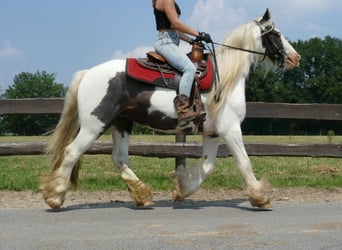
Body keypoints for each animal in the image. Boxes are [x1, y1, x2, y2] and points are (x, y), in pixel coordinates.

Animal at [42, 8, 300, 210]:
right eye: (276, 33)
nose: (295, 58)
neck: (225, 78)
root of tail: (87, 73)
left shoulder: (212, 132)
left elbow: (207, 166)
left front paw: (181, 190)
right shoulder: (231, 129)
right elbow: (244, 162)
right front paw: (261, 198)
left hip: (121, 123)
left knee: (119, 158)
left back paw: (143, 195)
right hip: (94, 124)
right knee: (71, 152)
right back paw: (55, 197)